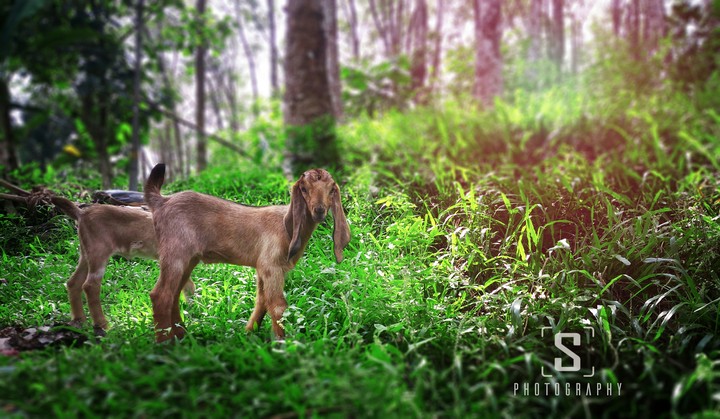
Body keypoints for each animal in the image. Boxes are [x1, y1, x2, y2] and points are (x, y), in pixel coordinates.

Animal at [0, 180, 195, 333]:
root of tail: (81, 213)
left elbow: (188, 284)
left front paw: (193, 306)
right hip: (99, 252)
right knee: (90, 285)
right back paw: (103, 325)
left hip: (86, 253)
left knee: (73, 282)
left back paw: (80, 321)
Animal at [144, 164, 351, 342]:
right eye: (304, 189)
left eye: (331, 190)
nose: (319, 211)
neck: (286, 228)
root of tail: (162, 202)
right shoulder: (271, 266)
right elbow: (277, 306)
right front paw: (283, 345)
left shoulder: (262, 268)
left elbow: (262, 301)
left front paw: (249, 332)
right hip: (176, 252)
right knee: (161, 295)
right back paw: (166, 344)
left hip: (188, 259)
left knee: (174, 295)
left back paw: (181, 336)